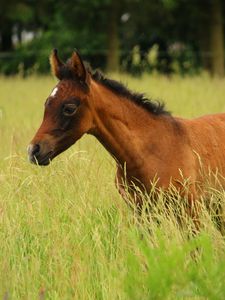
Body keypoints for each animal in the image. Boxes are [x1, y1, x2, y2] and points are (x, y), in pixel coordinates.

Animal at [27, 48, 225, 227]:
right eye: (46, 104)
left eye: (69, 108)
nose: (33, 150)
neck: (149, 152)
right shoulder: (142, 212)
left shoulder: (189, 210)